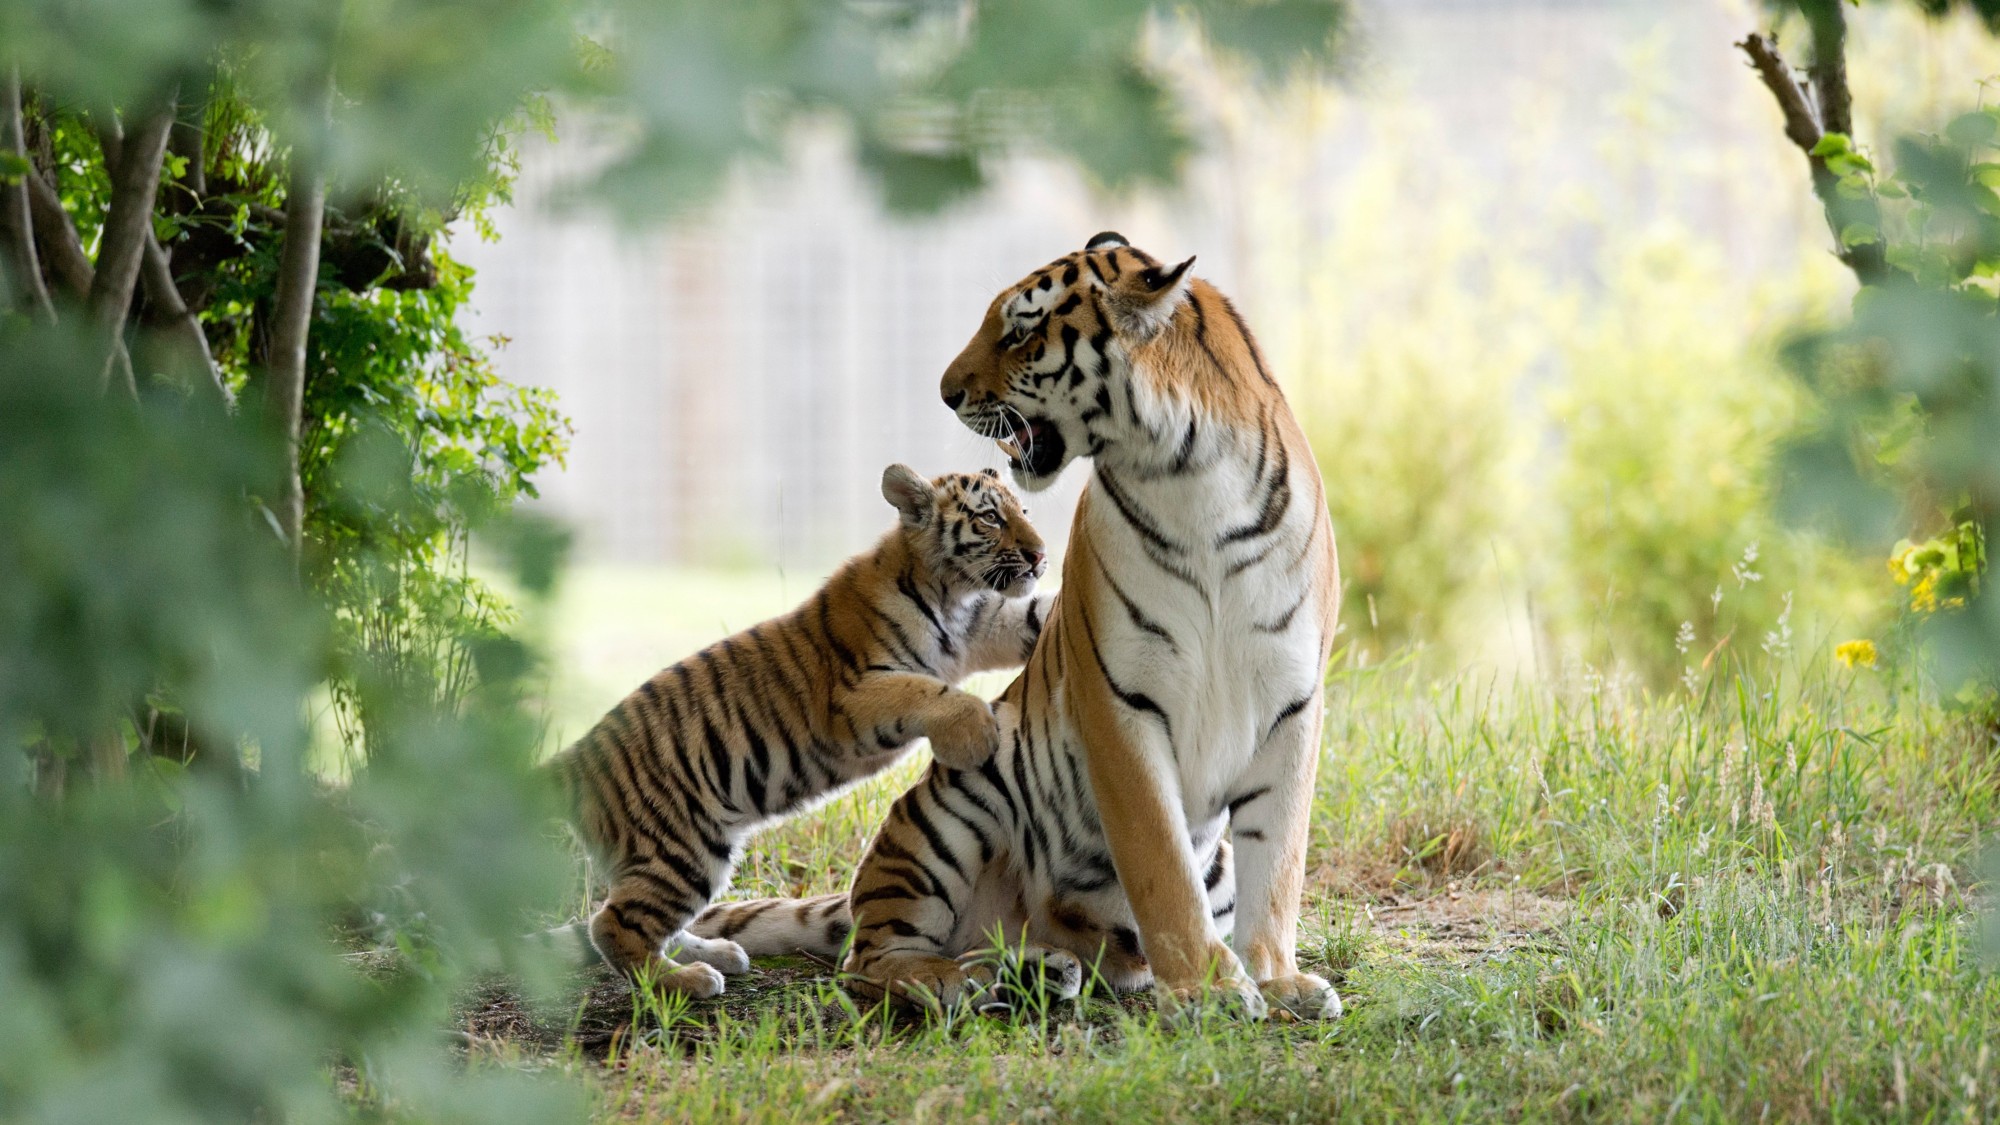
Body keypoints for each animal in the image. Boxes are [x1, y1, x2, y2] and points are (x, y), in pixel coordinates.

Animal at [548, 463, 1052, 999]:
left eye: (1023, 510)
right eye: (990, 518)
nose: (1041, 556)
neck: (954, 593)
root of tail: (578, 755)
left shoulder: (989, 624)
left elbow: (1036, 614)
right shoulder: (854, 696)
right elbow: (927, 691)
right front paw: (978, 732)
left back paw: (719, 955)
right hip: (681, 849)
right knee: (612, 924)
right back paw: (683, 980)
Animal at [693, 233, 1342, 1020]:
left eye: (1021, 333)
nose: (947, 392)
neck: (1191, 478)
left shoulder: (1293, 700)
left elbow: (1277, 860)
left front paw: (1275, 979)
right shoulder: (1119, 697)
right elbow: (1160, 861)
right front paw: (1207, 988)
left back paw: (1039, 971)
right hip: (953, 805)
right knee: (870, 962)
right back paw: (960, 979)